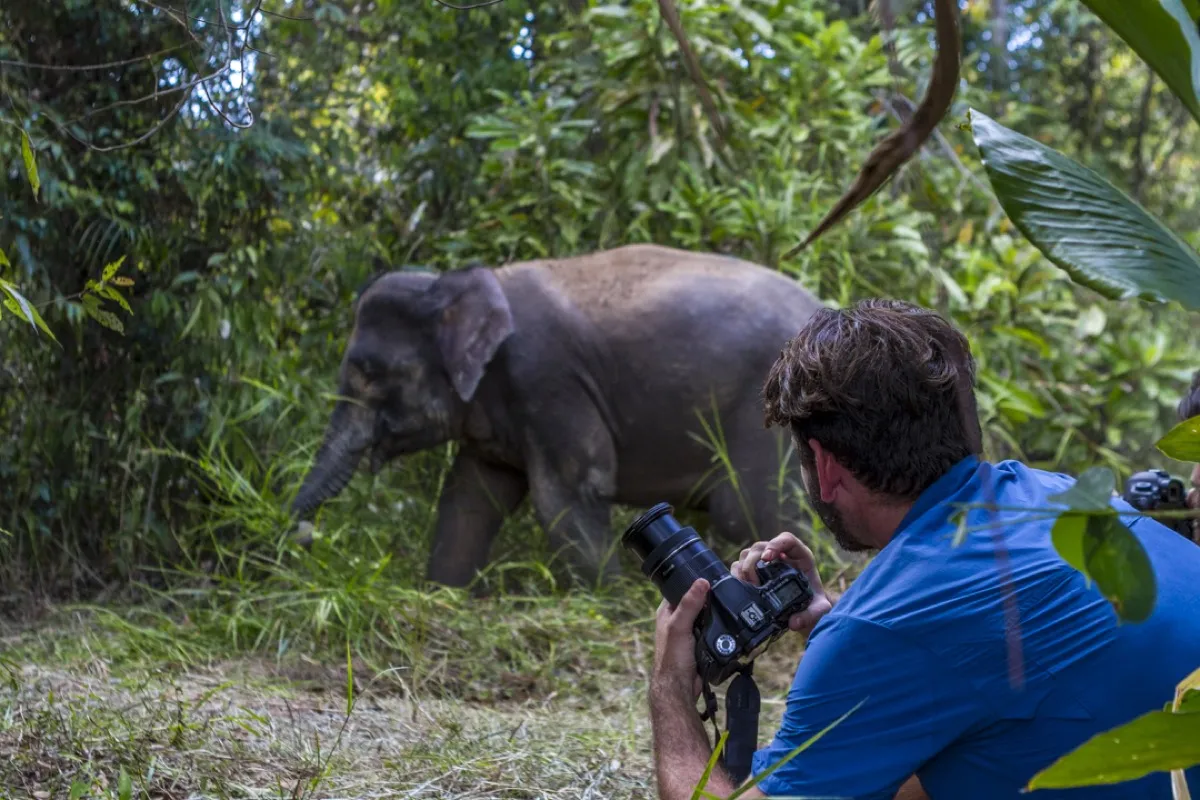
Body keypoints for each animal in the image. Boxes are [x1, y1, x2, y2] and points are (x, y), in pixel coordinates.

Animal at [289, 243, 826, 588]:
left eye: (370, 373)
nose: (307, 537)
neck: (457, 283)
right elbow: (469, 498)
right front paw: (443, 592)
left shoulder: (549, 381)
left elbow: (566, 497)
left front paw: (606, 603)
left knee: (753, 509)